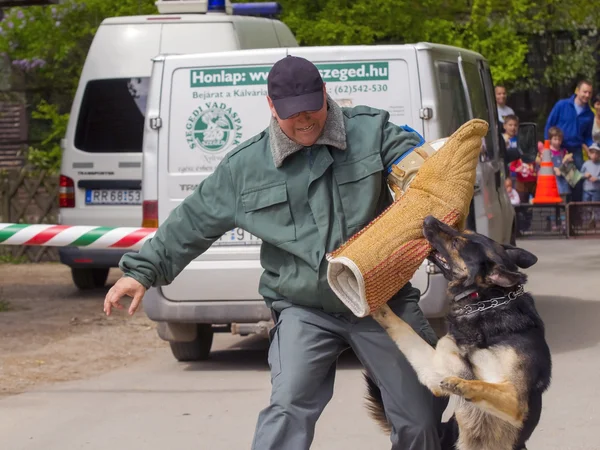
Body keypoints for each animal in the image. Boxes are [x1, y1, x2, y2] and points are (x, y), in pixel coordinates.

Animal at [364, 216, 552, 448]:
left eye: (456, 243)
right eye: (466, 231)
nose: (428, 218)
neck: (485, 305)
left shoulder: (515, 398)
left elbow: (482, 384)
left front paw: (460, 384)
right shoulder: (435, 369)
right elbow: (402, 327)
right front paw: (377, 305)